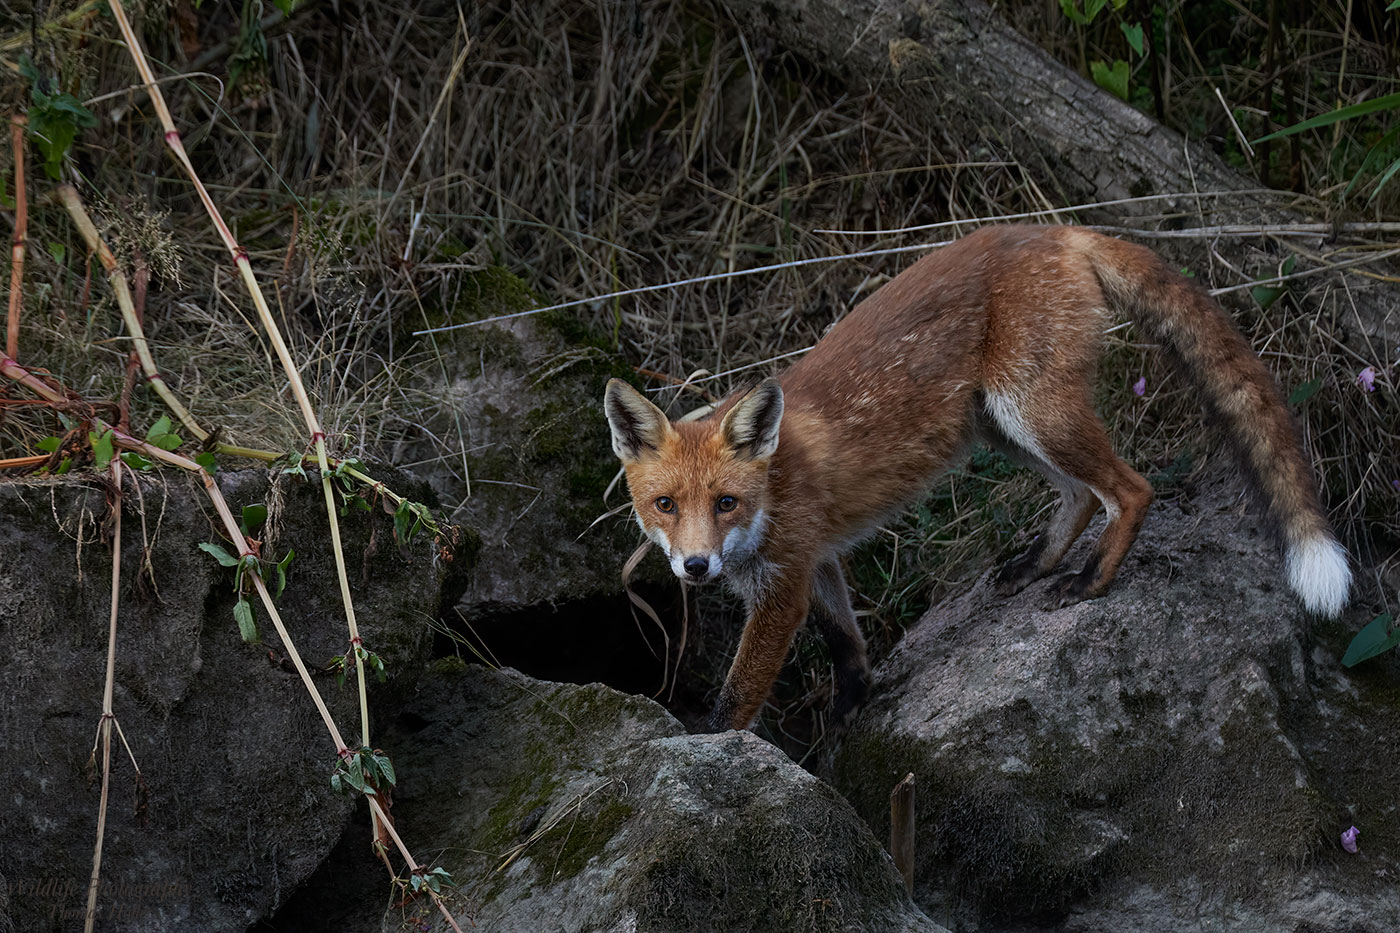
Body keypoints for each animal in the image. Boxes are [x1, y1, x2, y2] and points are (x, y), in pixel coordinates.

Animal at [607, 224, 1349, 728]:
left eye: (726, 502)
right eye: (665, 504)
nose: (696, 567)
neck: (775, 488)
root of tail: (1054, 228)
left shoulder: (782, 580)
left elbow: (736, 699)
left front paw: (707, 747)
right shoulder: (814, 557)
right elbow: (845, 640)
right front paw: (851, 706)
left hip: (1033, 411)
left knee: (1132, 489)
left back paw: (1089, 580)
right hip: (1001, 425)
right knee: (1082, 495)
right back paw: (1038, 564)